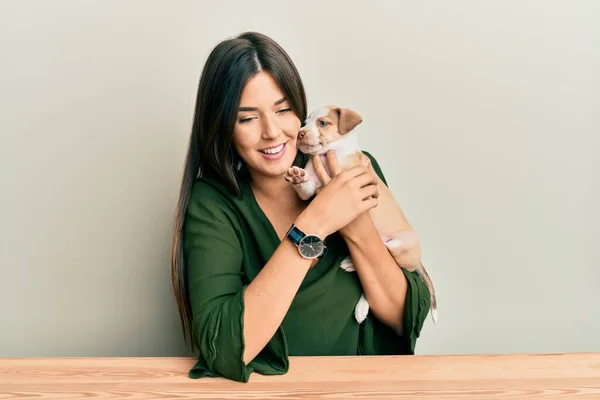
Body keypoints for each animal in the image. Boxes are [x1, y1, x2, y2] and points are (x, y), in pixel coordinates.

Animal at [284, 105, 438, 324]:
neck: (329, 154)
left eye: (323, 123)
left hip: (401, 245)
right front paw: (297, 176)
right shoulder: (311, 188)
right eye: (304, 123)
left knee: (385, 254)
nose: (300, 133)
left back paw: (352, 266)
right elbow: (305, 186)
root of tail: (418, 260)